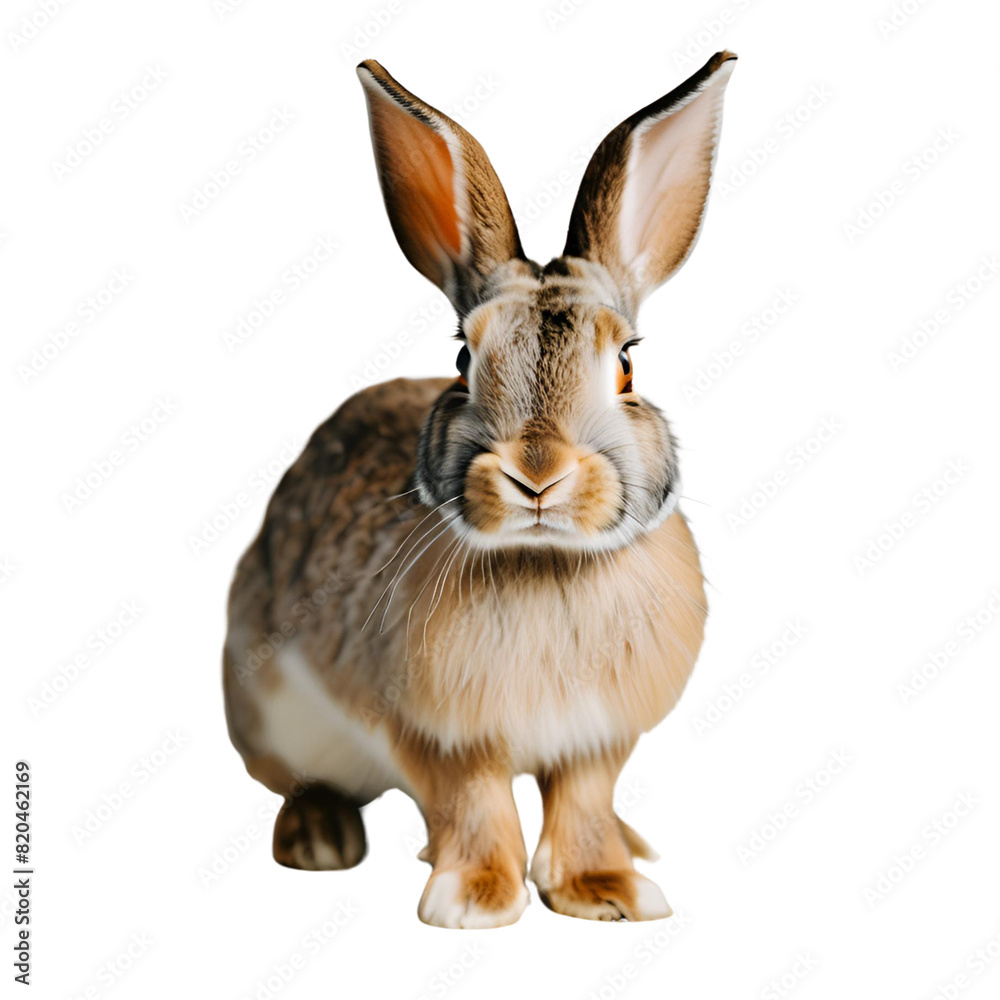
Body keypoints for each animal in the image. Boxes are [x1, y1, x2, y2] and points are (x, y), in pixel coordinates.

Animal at [223, 50, 736, 928]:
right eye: (464, 361)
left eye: (627, 366)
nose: (538, 473)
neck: (545, 562)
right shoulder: (438, 738)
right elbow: (475, 803)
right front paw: (475, 900)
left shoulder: (598, 740)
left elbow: (584, 802)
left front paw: (607, 890)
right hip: (265, 705)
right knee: (295, 780)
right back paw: (319, 839)